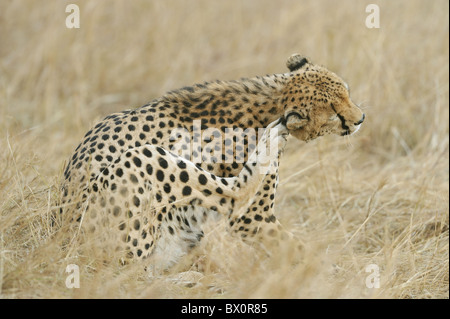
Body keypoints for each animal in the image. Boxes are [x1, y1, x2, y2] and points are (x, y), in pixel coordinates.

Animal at [59, 54, 366, 270]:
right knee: (234, 194)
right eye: (335, 113)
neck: (272, 101)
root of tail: (62, 241)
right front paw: (334, 273)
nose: (360, 118)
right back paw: (272, 138)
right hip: (147, 159)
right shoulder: (254, 217)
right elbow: (293, 246)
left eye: (346, 92)